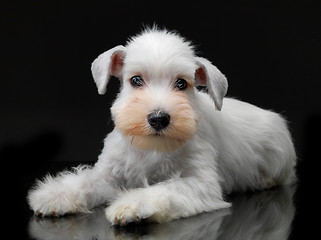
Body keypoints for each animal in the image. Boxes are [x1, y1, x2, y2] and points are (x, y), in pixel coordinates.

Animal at [27, 27, 296, 226]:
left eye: (182, 83)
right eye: (136, 80)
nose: (158, 118)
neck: (151, 147)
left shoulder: (200, 182)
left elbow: (163, 189)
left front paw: (132, 204)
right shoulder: (109, 174)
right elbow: (87, 180)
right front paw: (55, 195)